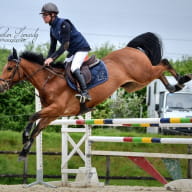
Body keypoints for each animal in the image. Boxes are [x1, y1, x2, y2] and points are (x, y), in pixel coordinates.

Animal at [0, 32, 190, 160]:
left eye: (9, 68)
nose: (1, 86)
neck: (50, 81)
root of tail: (130, 49)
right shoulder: (53, 113)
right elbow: (37, 129)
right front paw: (24, 151)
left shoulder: (55, 109)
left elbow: (33, 117)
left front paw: (24, 136)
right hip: (134, 84)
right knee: (159, 72)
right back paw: (174, 86)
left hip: (142, 74)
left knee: (163, 63)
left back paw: (183, 79)